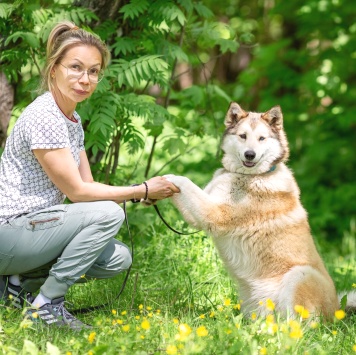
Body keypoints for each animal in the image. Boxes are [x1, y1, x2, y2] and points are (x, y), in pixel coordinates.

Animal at [163, 102, 354, 320]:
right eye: (243, 136)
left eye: (262, 138)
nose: (250, 154)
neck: (249, 176)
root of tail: (338, 310)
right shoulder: (201, 212)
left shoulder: (214, 214)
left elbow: (185, 182)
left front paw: (169, 178)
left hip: (299, 275)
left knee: (298, 324)